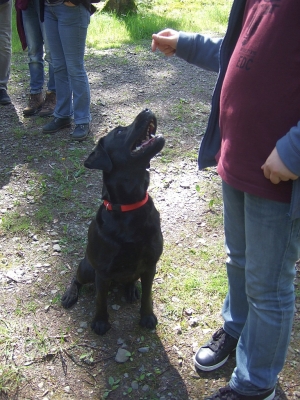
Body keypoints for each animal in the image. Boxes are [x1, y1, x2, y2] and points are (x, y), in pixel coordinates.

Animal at [60, 108, 164, 334]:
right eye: (119, 132)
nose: (146, 109)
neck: (130, 208)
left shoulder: (150, 265)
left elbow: (147, 295)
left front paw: (147, 317)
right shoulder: (102, 272)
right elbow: (101, 300)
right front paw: (100, 322)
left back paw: (131, 289)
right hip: (87, 268)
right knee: (76, 278)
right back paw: (70, 294)